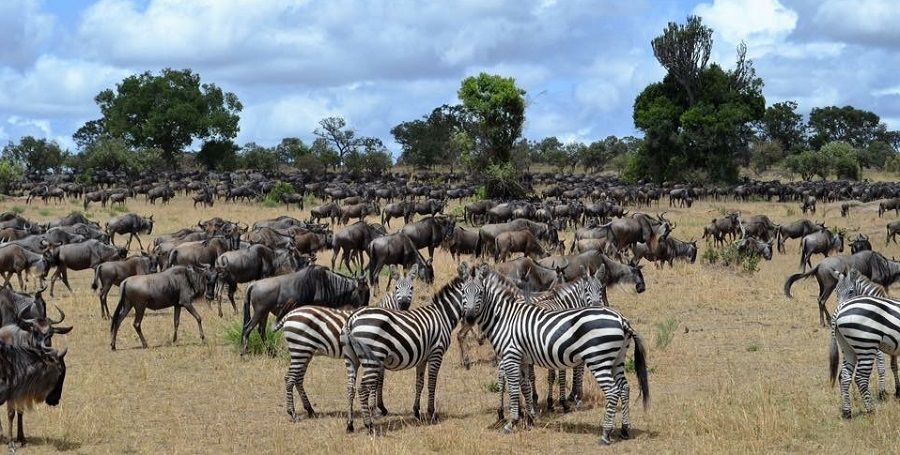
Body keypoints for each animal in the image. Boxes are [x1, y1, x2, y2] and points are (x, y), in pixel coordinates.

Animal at [276, 270, 416, 424]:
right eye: (397, 288)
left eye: (412, 288)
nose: (404, 304)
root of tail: (290, 314)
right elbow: (378, 381)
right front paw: (376, 409)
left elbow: (379, 380)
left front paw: (379, 407)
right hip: (300, 350)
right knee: (290, 379)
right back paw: (293, 413)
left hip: (305, 351)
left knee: (298, 379)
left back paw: (310, 409)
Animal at [342, 262, 474, 432]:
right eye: (469, 292)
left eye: (480, 292)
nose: (471, 319)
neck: (442, 315)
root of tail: (352, 318)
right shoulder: (436, 353)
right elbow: (432, 383)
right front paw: (431, 413)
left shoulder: (423, 357)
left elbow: (420, 383)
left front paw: (416, 411)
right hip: (372, 358)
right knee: (363, 388)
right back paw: (369, 424)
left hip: (351, 359)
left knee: (350, 388)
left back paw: (350, 424)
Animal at [464, 268, 648, 446]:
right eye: (464, 292)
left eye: (481, 293)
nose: (469, 318)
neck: (505, 317)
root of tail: (621, 320)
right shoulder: (522, 359)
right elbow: (525, 386)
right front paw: (529, 419)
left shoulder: (511, 356)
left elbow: (516, 389)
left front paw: (512, 423)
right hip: (618, 359)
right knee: (624, 388)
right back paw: (624, 429)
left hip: (598, 359)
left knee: (612, 390)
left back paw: (606, 434)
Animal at [828, 268, 900, 418]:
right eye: (836, 291)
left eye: (851, 291)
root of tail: (839, 312)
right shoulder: (879, 347)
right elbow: (883, 366)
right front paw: (883, 393)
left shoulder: (892, 347)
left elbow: (893, 366)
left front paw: (897, 391)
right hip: (866, 345)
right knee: (860, 378)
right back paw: (871, 410)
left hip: (849, 348)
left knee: (844, 376)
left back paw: (847, 413)